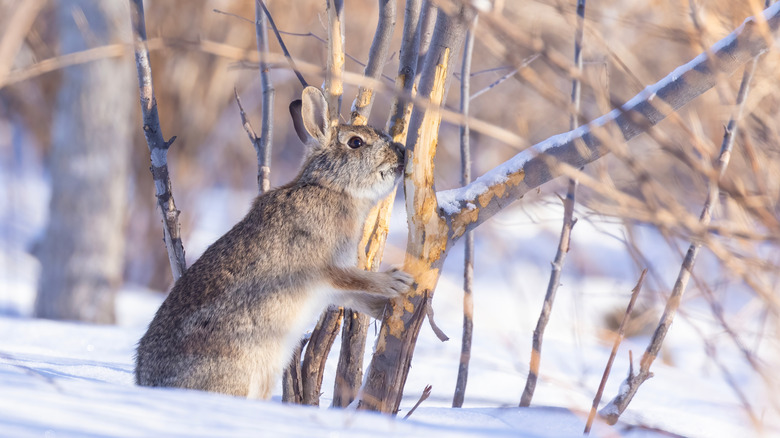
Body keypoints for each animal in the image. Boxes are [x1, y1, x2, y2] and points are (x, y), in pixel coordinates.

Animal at [135, 86, 413, 399]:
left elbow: (355, 298)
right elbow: (359, 281)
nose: (401, 152)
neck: (331, 188)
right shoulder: (325, 268)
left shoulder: (330, 289)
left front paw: (387, 309)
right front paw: (397, 282)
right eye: (356, 142)